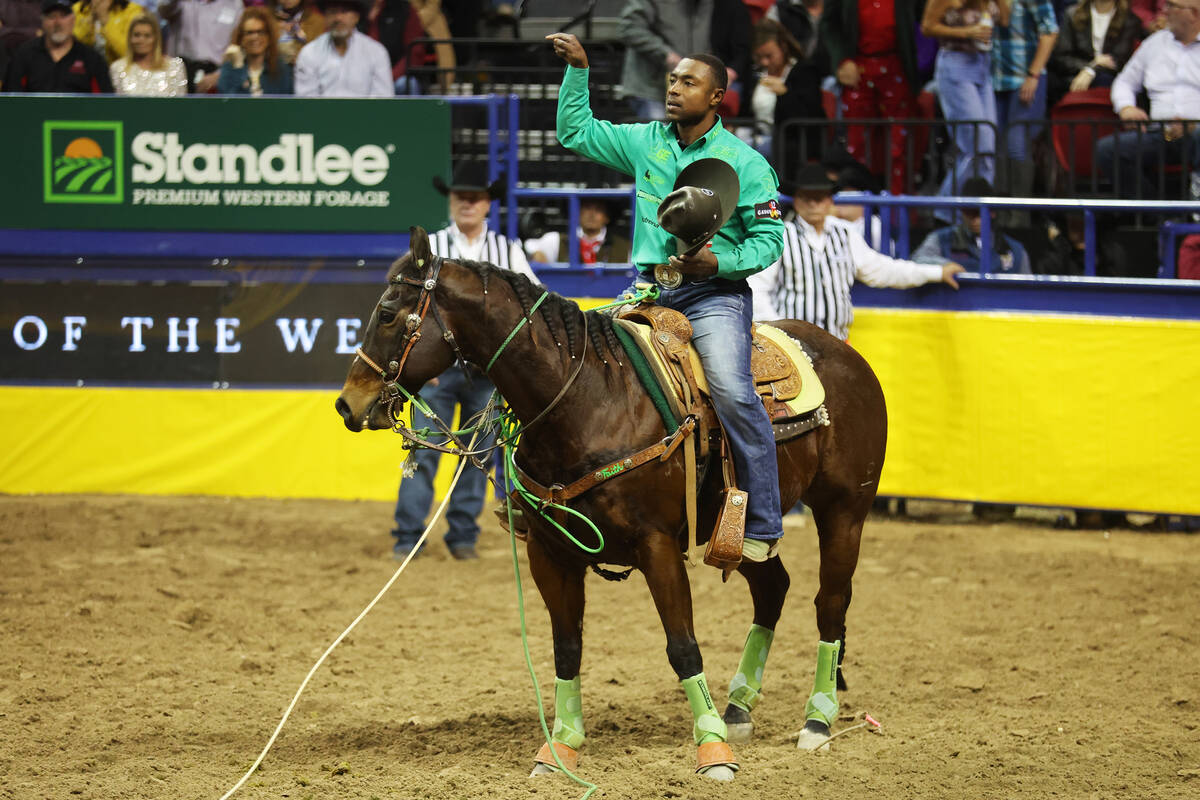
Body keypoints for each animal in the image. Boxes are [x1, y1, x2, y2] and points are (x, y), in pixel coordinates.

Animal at [333, 225, 888, 782]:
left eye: (387, 313)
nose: (346, 404)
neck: (588, 399)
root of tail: (847, 353)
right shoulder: (550, 554)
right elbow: (566, 648)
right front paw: (560, 747)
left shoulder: (658, 547)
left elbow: (682, 645)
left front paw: (711, 749)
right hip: (733, 532)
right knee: (773, 589)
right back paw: (738, 708)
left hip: (844, 511)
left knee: (830, 602)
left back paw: (816, 720)